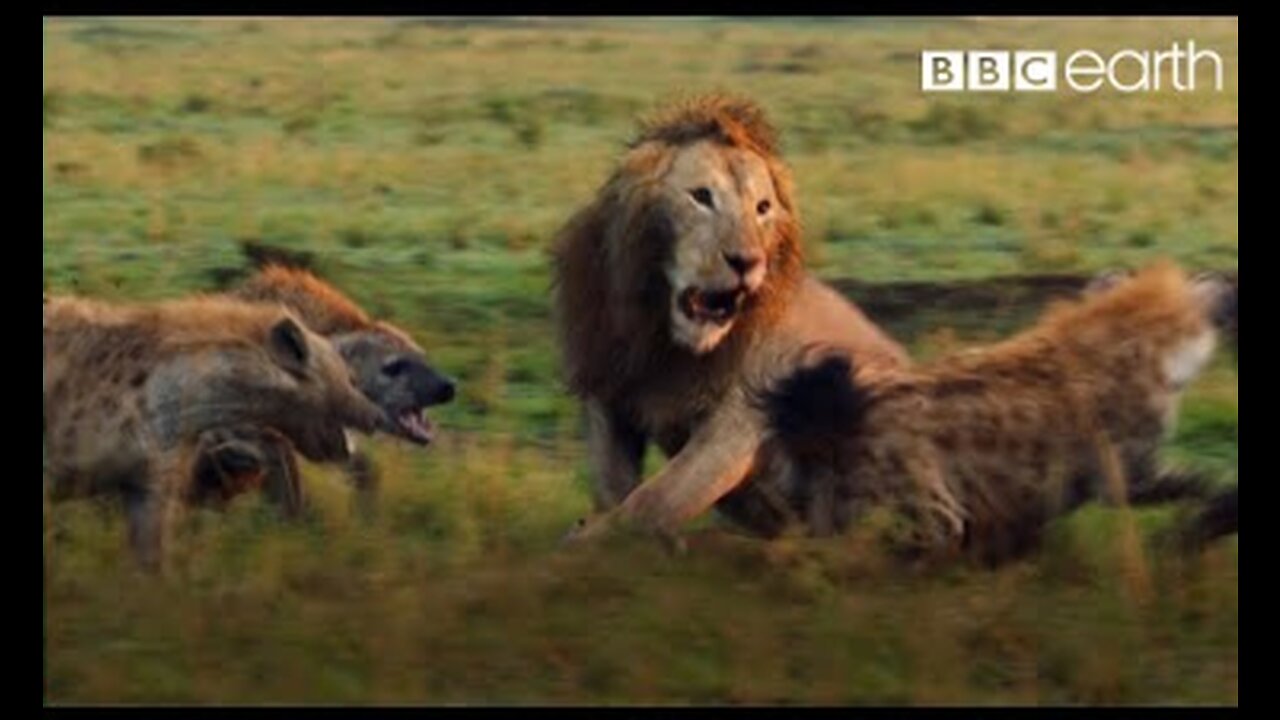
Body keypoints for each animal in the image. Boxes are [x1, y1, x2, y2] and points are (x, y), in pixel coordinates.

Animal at [550, 96, 911, 543]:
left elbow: (654, 499)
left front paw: (591, 539)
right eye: (701, 197)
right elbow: (612, 487)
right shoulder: (607, 387)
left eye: (762, 208)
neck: (661, 335)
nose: (747, 261)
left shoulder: (739, 419)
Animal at [757, 260, 1228, 563]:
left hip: (816, 498)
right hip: (924, 505)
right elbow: (1196, 481)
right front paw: (1201, 525)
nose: (1225, 279)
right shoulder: (1125, 470)